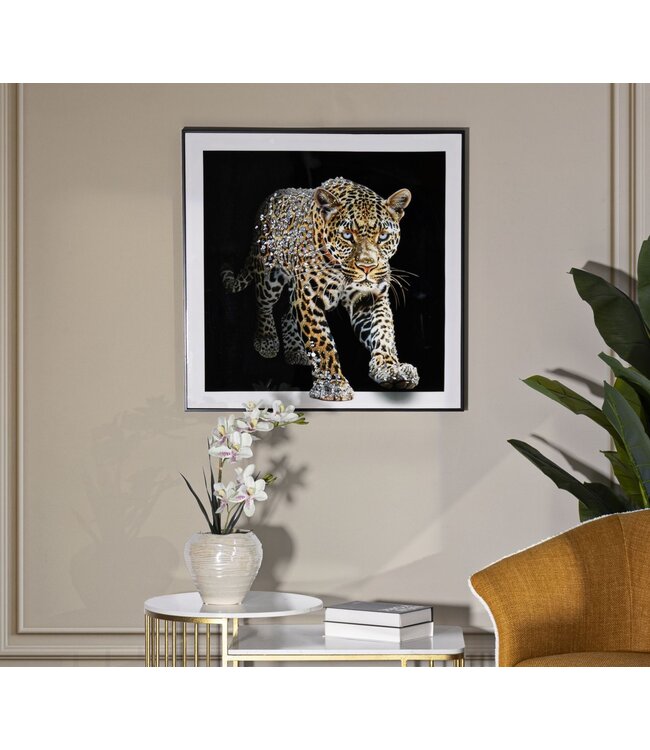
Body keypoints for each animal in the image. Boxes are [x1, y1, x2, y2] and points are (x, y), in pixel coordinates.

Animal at [221, 176, 419, 401]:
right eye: (347, 235)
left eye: (383, 236)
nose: (367, 266)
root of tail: (272, 196)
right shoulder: (308, 296)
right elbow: (321, 341)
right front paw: (332, 385)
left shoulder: (369, 297)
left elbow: (383, 331)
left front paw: (391, 369)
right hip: (269, 274)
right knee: (263, 303)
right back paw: (266, 339)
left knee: (287, 313)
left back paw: (296, 352)